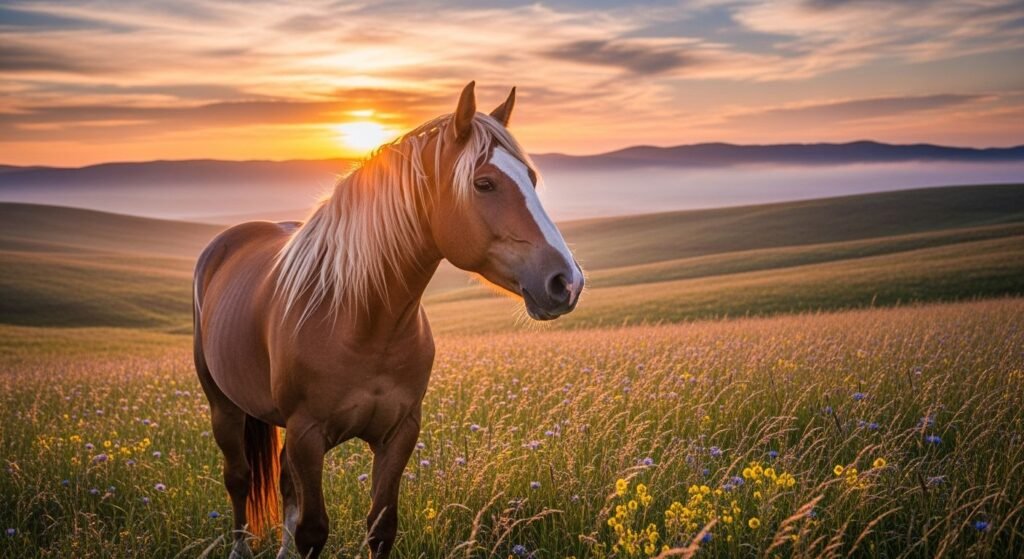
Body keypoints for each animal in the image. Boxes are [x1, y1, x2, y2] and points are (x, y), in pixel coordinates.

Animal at [193, 81, 584, 559]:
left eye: (531, 178)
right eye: (484, 183)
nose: (567, 282)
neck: (361, 321)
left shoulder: (399, 433)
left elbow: (380, 526)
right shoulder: (307, 435)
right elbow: (312, 531)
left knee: (283, 484)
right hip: (224, 406)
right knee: (240, 480)